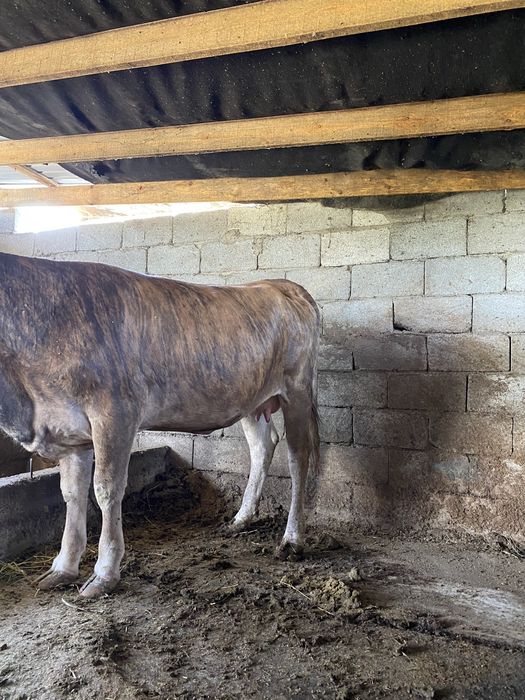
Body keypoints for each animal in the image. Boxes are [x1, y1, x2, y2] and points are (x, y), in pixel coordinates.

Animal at [0, 252, 320, 598]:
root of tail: (282, 284)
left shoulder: (115, 415)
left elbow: (106, 490)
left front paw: (104, 573)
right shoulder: (68, 428)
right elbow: (72, 494)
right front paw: (63, 568)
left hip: (297, 389)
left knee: (298, 457)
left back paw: (292, 539)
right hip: (252, 398)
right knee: (263, 447)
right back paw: (241, 519)